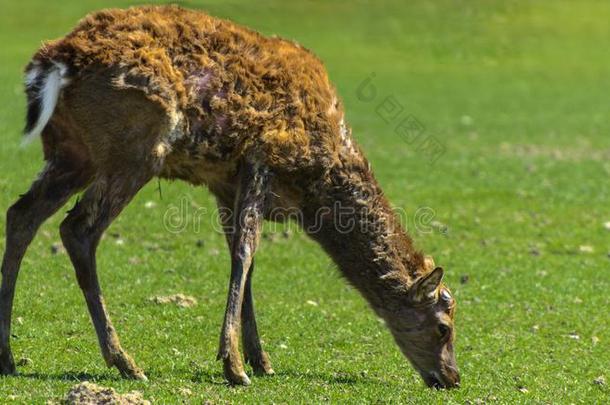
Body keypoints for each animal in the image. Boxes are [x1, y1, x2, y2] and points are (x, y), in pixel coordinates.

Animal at [0, 4, 456, 386]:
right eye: (444, 326)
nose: (451, 378)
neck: (316, 189)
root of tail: (52, 63)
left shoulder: (225, 182)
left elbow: (243, 258)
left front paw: (260, 359)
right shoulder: (262, 158)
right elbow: (245, 253)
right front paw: (235, 366)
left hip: (73, 153)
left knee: (21, 214)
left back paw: (8, 357)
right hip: (135, 146)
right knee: (77, 228)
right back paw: (125, 361)